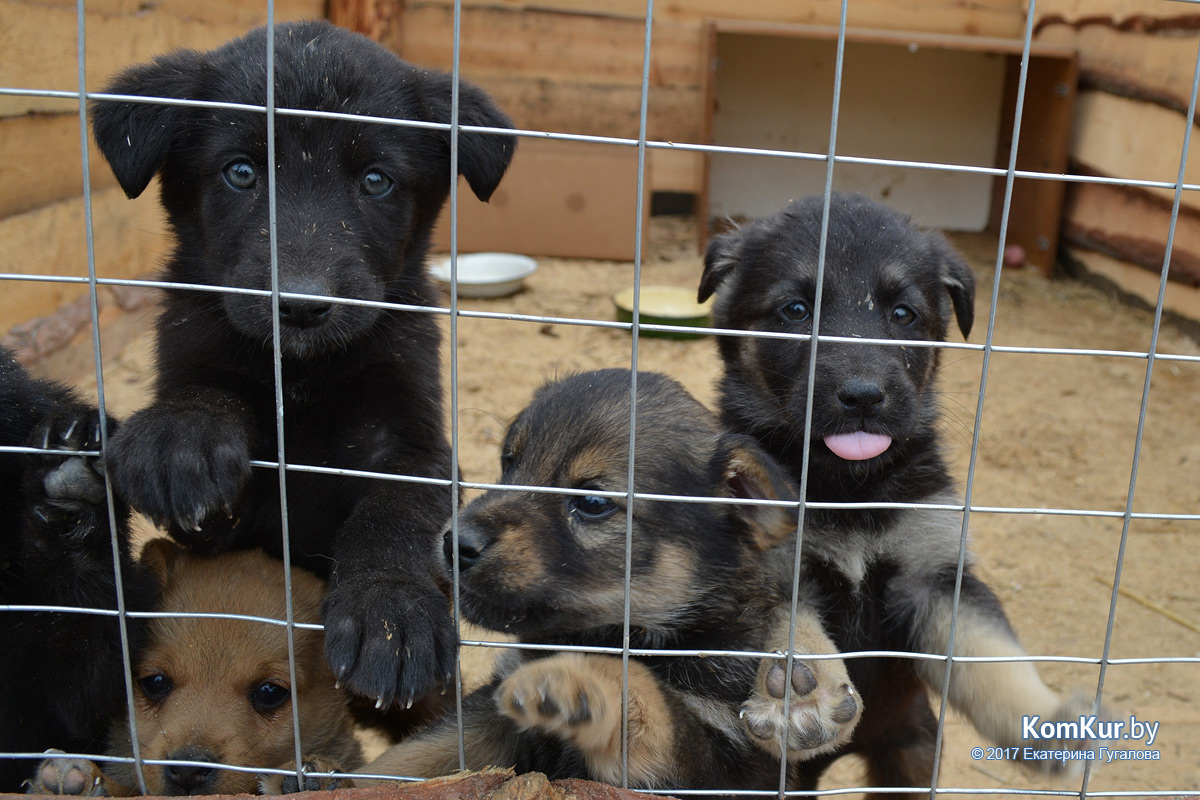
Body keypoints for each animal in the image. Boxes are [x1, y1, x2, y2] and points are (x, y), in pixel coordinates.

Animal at [92, 20, 516, 705]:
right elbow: (205, 399)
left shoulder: (412, 440)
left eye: (376, 180)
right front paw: (183, 433)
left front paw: (389, 612)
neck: (305, 375)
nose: (300, 305)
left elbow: (394, 512)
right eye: (241, 172)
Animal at [350, 371, 859, 796]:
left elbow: (650, 700)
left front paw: (577, 682)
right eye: (509, 462)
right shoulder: (487, 716)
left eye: (593, 502)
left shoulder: (724, 768)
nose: (455, 542)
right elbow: (405, 761)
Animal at [700, 194, 1104, 796]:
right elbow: (789, 622)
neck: (850, 490)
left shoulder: (934, 577)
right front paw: (802, 696)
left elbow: (992, 655)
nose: (864, 397)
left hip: (913, 750)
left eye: (903, 315)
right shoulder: (767, 567)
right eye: (795, 311)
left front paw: (1048, 720)